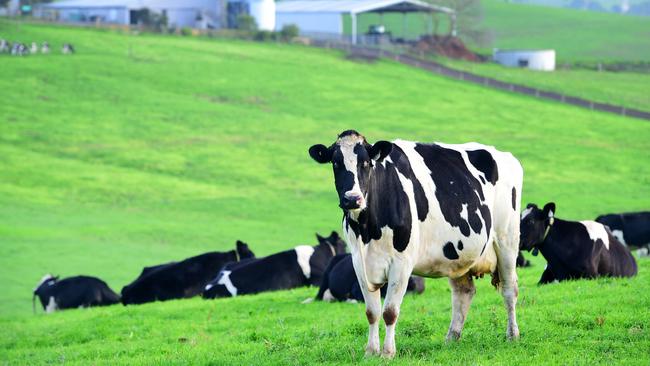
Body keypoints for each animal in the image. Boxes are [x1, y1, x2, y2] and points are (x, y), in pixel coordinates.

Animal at [308, 131, 520, 358]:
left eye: (365, 163)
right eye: (335, 163)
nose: (352, 199)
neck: (367, 230)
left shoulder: (402, 262)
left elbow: (390, 312)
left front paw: (387, 353)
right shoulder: (359, 262)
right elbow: (372, 312)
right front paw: (371, 352)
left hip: (507, 242)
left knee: (509, 290)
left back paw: (512, 335)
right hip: (459, 253)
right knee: (464, 293)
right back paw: (452, 338)